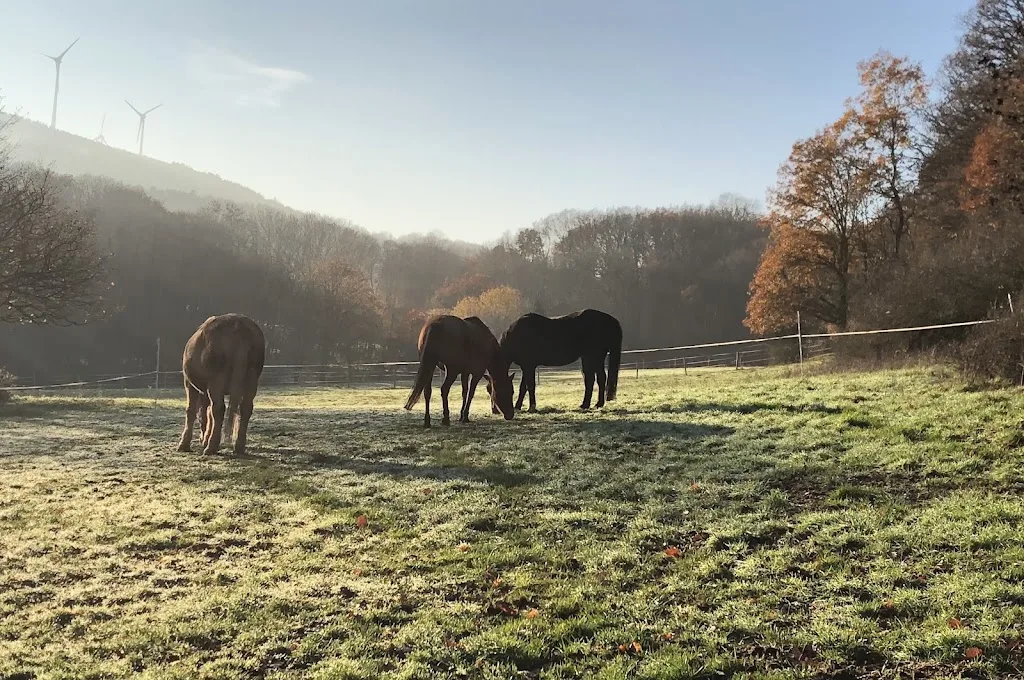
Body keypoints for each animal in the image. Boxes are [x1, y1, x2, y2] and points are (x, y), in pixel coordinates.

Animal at [176, 313, 266, 455]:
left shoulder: (189, 384)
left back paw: (211, 446)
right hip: (251, 380)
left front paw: (184, 444)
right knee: (245, 408)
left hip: (216, 381)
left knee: (218, 409)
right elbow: (208, 413)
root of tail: (238, 325)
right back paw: (238, 446)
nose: (201, 438)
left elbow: (192, 411)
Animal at [489, 309, 622, 412]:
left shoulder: (529, 366)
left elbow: (530, 386)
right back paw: (589, 404)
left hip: (594, 357)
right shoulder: (526, 366)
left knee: (598, 379)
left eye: (493, 390)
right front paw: (518, 406)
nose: (494, 410)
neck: (517, 335)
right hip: (591, 358)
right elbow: (523, 387)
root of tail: (609, 319)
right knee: (594, 379)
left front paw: (531, 407)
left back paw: (595, 404)